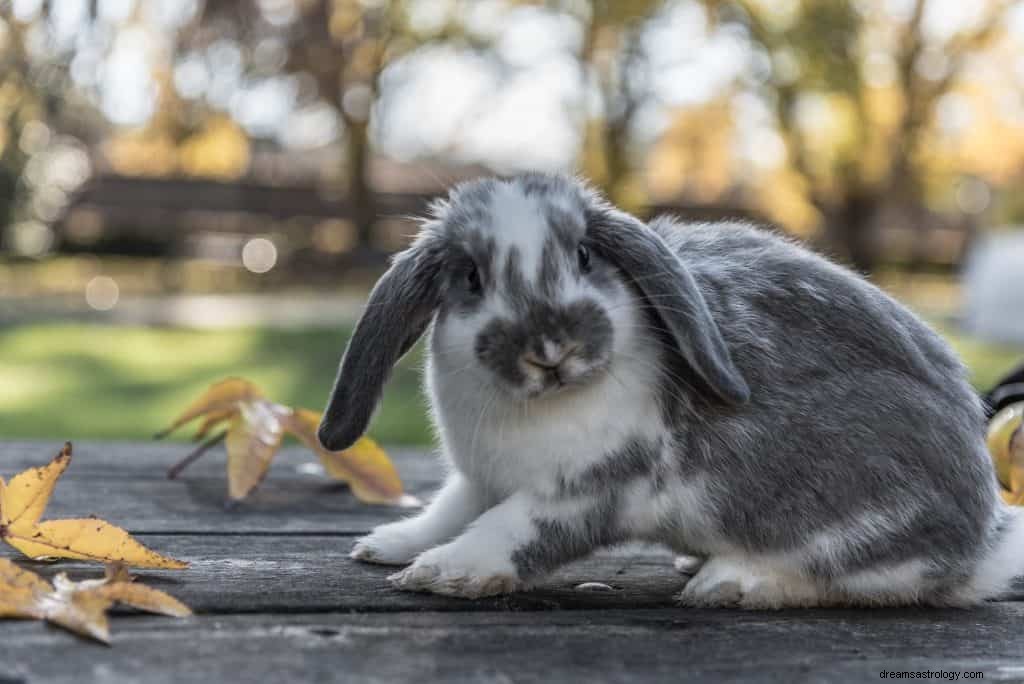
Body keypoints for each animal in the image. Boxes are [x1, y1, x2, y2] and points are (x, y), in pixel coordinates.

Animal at [315, 174, 1019, 606]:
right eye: (470, 277)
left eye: (585, 257)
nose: (550, 350)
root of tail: (978, 539)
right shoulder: (478, 480)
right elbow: (450, 511)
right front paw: (388, 546)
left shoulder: (587, 488)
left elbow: (510, 531)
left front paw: (444, 573)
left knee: (860, 579)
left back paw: (729, 582)